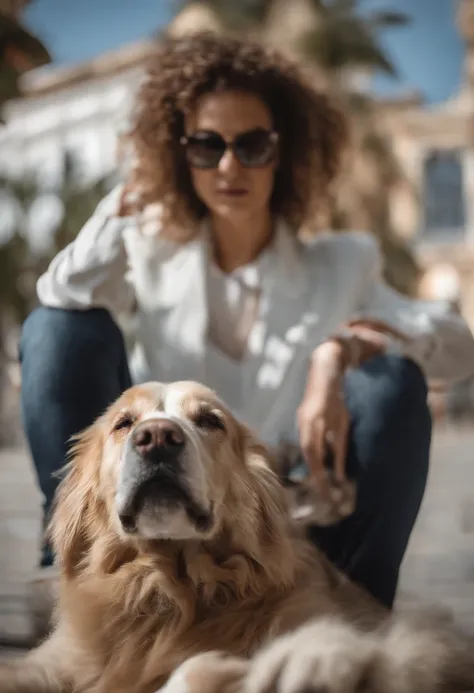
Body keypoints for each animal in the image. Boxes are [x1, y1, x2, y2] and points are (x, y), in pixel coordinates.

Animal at [0, 382, 474, 688]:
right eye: (124, 423)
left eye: (210, 421)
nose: (157, 437)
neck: (171, 593)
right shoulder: (58, 661)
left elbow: (200, 669)